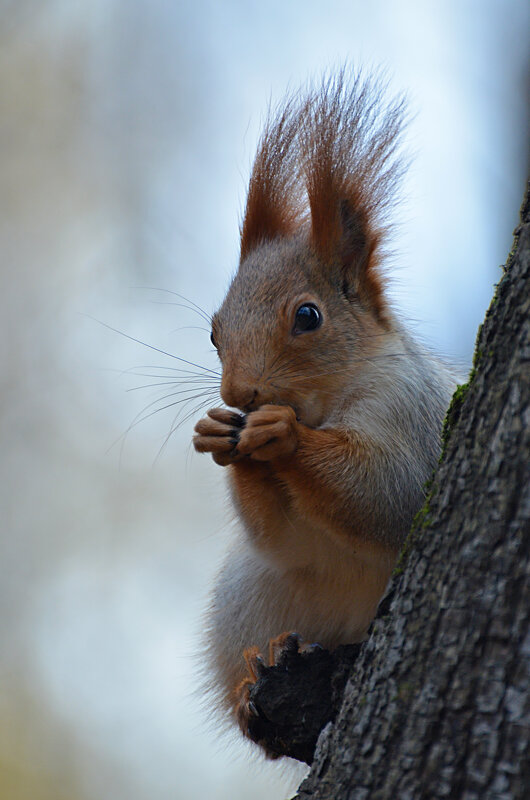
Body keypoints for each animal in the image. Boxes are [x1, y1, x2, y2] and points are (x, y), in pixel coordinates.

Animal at [192, 70, 456, 756]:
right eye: (214, 332)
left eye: (308, 316)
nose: (241, 396)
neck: (329, 404)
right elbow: (284, 538)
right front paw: (221, 436)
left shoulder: (414, 420)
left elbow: (387, 492)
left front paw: (282, 437)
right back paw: (255, 689)